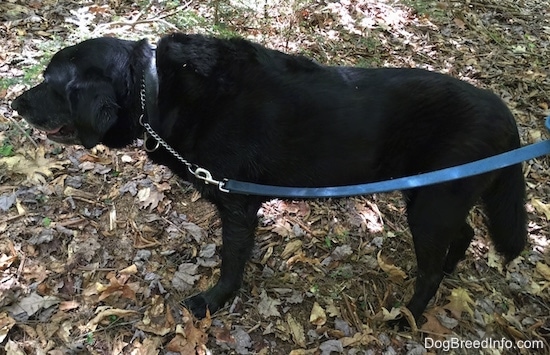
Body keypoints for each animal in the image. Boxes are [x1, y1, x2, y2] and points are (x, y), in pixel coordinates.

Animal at [10, 33, 528, 326]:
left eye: (51, 80)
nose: (14, 102)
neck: (152, 88)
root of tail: (507, 116)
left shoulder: (238, 206)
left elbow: (231, 263)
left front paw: (214, 301)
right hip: (434, 198)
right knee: (461, 237)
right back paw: (449, 270)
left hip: (432, 206)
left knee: (429, 269)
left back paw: (408, 317)